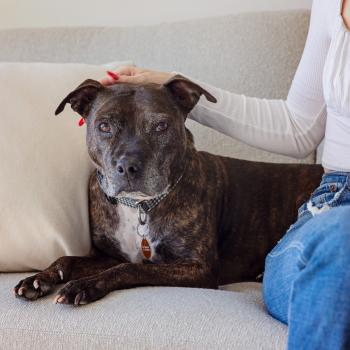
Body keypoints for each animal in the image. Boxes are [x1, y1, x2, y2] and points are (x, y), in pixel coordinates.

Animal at [13, 75, 322, 304]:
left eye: (161, 126)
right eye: (104, 126)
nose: (128, 167)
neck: (137, 205)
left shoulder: (198, 268)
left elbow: (131, 267)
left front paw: (84, 286)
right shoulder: (106, 255)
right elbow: (69, 259)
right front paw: (38, 279)